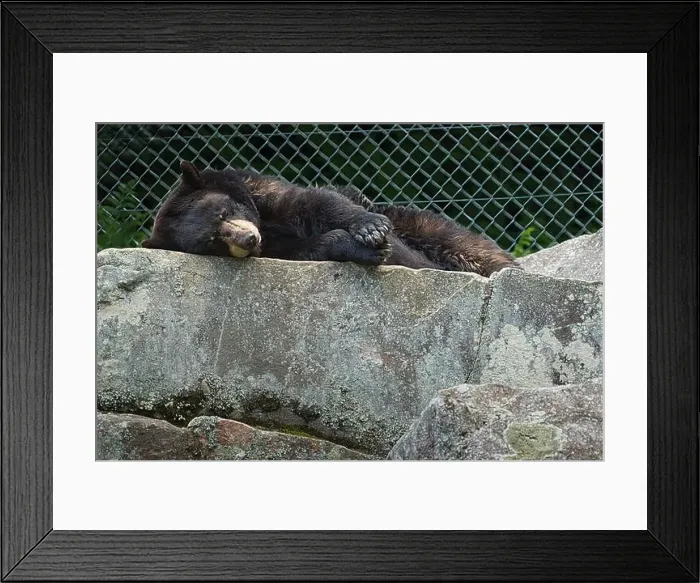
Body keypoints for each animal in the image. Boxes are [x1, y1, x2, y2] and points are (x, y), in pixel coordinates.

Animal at [142, 161, 519, 276]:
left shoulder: (259, 192)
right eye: (212, 242)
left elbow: (313, 203)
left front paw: (370, 229)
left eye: (224, 211)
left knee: (461, 243)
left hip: (416, 223)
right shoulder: (275, 248)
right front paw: (364, 249)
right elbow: (307, 248)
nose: (248, 239)